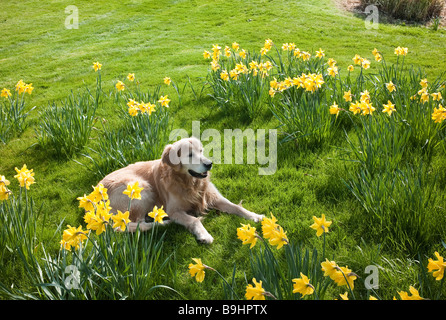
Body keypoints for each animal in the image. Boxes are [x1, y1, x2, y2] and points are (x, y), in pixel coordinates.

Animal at [99, 136, 264, 244]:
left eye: (201, 151)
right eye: (190, 155)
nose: (209, 164)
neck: (190, 183)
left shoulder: (213, 197)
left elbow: (236, 207)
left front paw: (256, 216)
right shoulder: (174, 210)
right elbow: (193, 220)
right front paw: (204, 235)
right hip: (142, 188)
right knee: (137, 224)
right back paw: (165, 222)